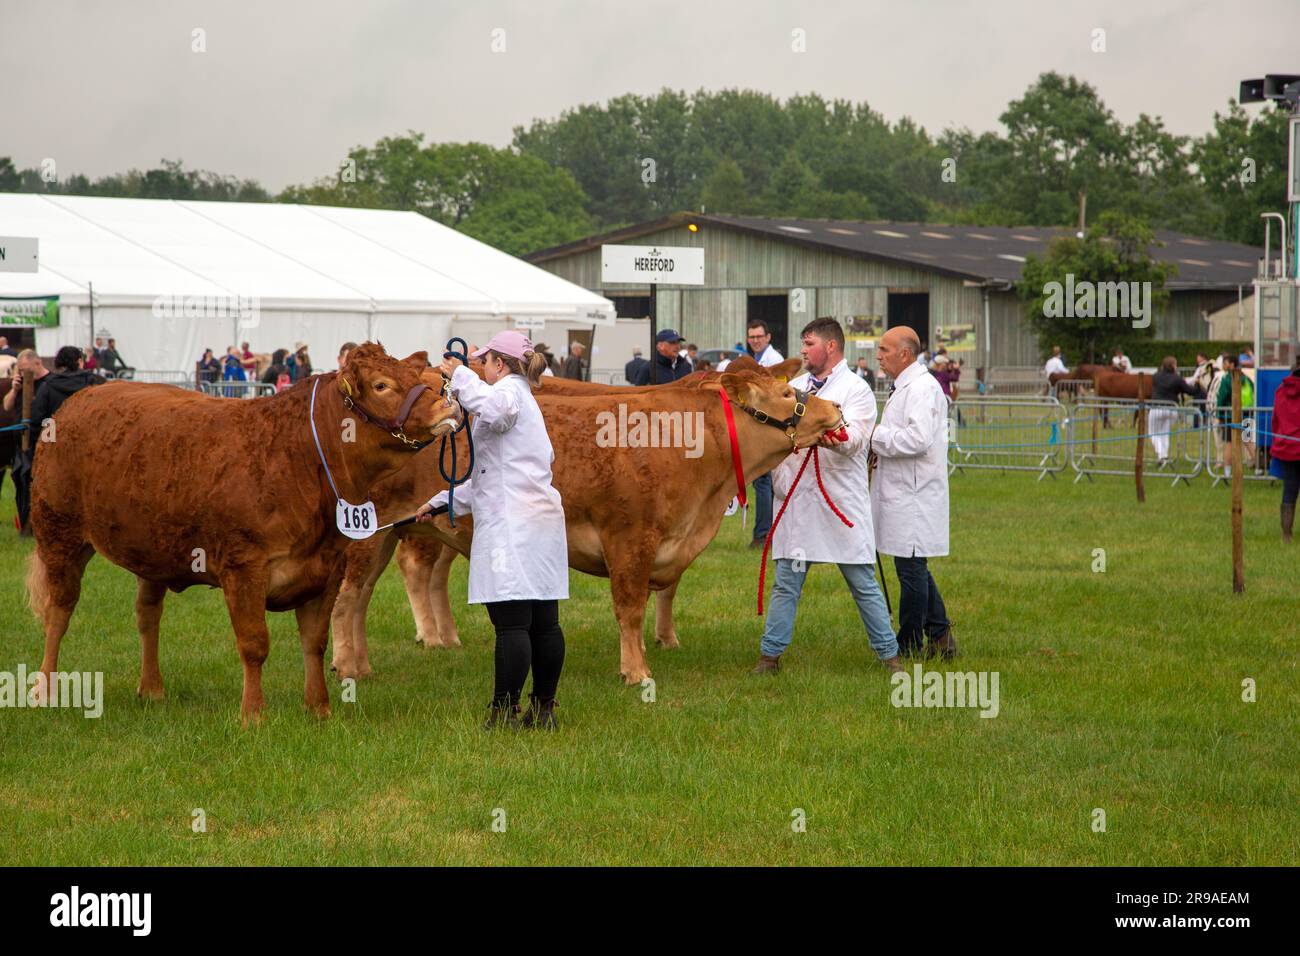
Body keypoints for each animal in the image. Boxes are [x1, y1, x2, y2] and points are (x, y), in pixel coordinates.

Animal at [26, 344, 464, 722]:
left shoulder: (326, 568)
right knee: (58, 612)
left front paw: (318, 708)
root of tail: (80, 399)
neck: (297, 457)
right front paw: (253, 714)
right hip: (59, 534)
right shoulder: (243, 567)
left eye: (417, 376)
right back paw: (45, 689)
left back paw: (151, 688)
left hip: (152, 551)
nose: (447, 404)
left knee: (147, 615)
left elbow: (315, 642)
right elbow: (254, 644)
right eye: (381, 385)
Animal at [330, 358, 846, 684]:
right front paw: (636, 672)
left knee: (364, 596)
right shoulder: (630, 537)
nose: (836, 408)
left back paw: (365, 664)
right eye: (787, 392)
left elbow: (655, 598)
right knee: (349, 597)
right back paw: (349, 666)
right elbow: (630, 607)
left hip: (394, 533)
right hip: (367, 533)